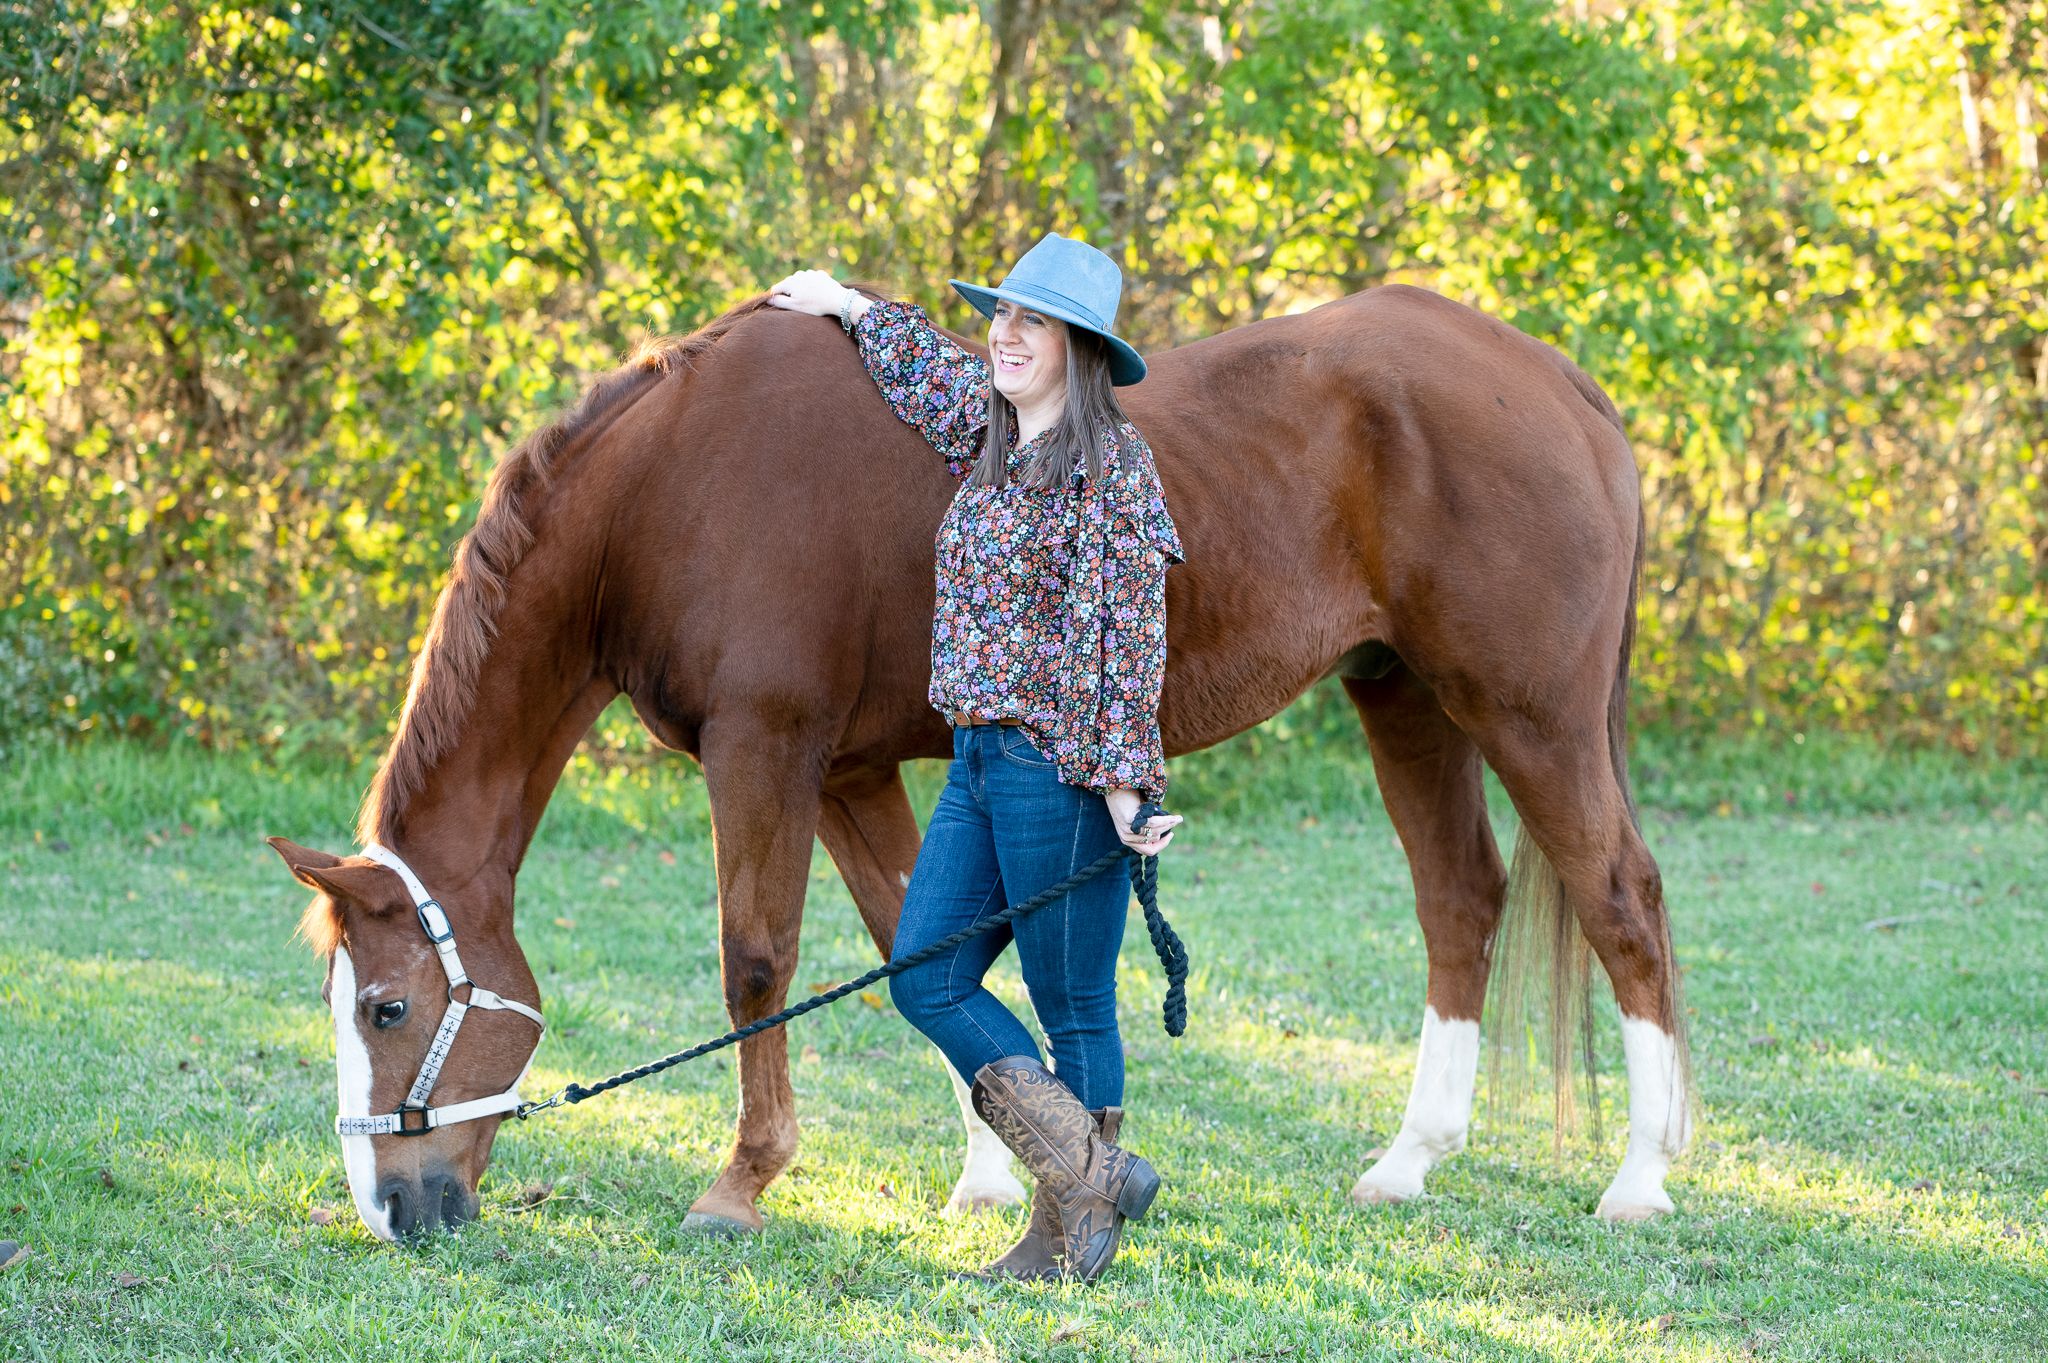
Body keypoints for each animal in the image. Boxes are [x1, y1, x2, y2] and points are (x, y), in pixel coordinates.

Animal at [266, 280, 1693, 1240]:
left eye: (386, 1008)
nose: (389, 1207)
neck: (673, 489)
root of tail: (1555, 379)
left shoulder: (768, 751)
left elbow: (756, 962)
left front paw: (740, 1182)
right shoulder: (851, 774)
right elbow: (918, 953)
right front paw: (1000, 1173)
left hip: (1527, 712)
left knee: (1619, 898)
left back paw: (1639, 1177)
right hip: (1402, 698)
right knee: (1461, 901)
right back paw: (1407, 1162)